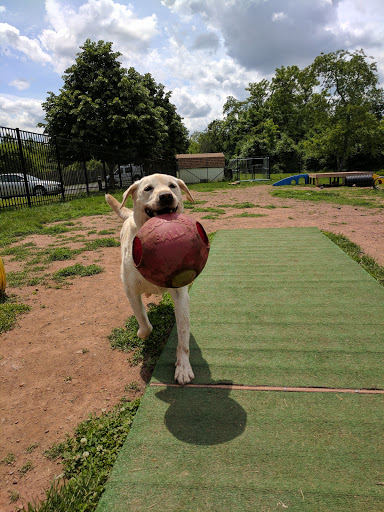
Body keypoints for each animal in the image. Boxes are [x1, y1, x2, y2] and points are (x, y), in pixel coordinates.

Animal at [105, 173, 195, 384]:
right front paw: (142, 332)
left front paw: (183, 367)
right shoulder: (130, 290)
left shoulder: (181, 294)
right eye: (148, 188)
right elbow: (144, 323)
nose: (166, 196)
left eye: (172, 186)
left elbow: (183, 336)